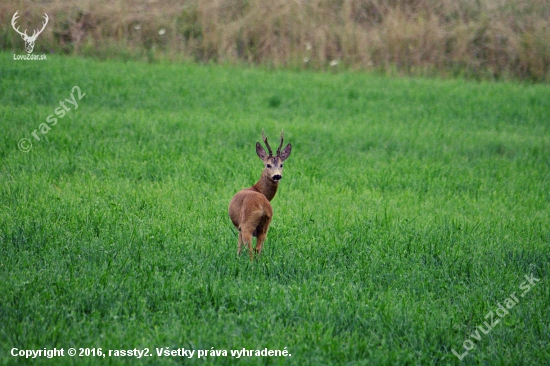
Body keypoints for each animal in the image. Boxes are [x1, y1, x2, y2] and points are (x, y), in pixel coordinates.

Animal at [230, 130, 294, 258]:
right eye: (268, 165)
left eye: (281, 165)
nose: (277, 176)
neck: (257, 188)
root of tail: (262, 206)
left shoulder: (239, 227)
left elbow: (239, 247)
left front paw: (237, 257)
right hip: (266, 225)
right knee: (258, 248)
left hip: (247, 225)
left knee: (250, 248)